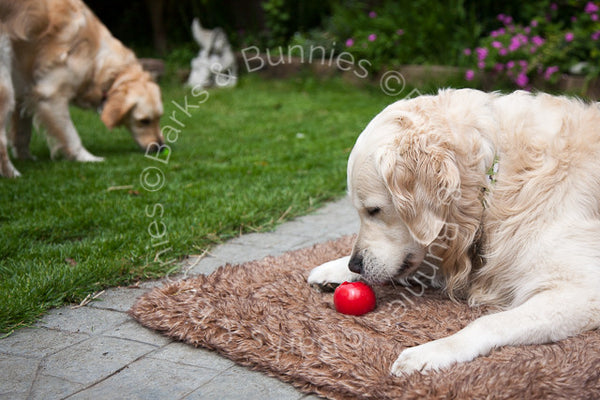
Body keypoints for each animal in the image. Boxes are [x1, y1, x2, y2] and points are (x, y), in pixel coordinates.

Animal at [310, 89, 600, 376]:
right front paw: (333, 268)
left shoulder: (584, 292)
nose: (355, 265)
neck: (494, 181)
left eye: (374, 210)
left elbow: (487, 323)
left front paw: (430, 351)